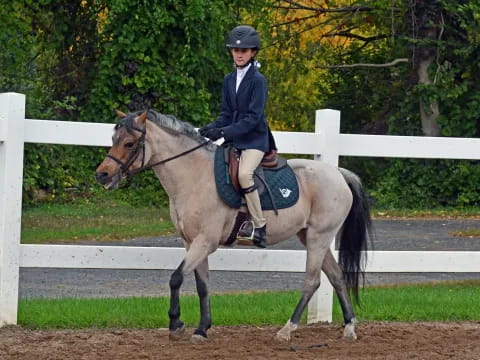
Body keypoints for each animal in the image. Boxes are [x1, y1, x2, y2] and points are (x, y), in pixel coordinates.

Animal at [94, 109, 372, 344]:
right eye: (113, 138)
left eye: (129, 143)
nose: (102, 175)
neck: (194, 177)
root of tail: (339, 174)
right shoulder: (192, 242)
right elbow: (202, 285)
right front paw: (202, 329)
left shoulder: (205, 241)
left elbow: (176, 278)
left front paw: (176, 325)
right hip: (311, 237)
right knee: (335, 276)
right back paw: (349, 328)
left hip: (318, 237)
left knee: (312, 281)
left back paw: (286, 330)